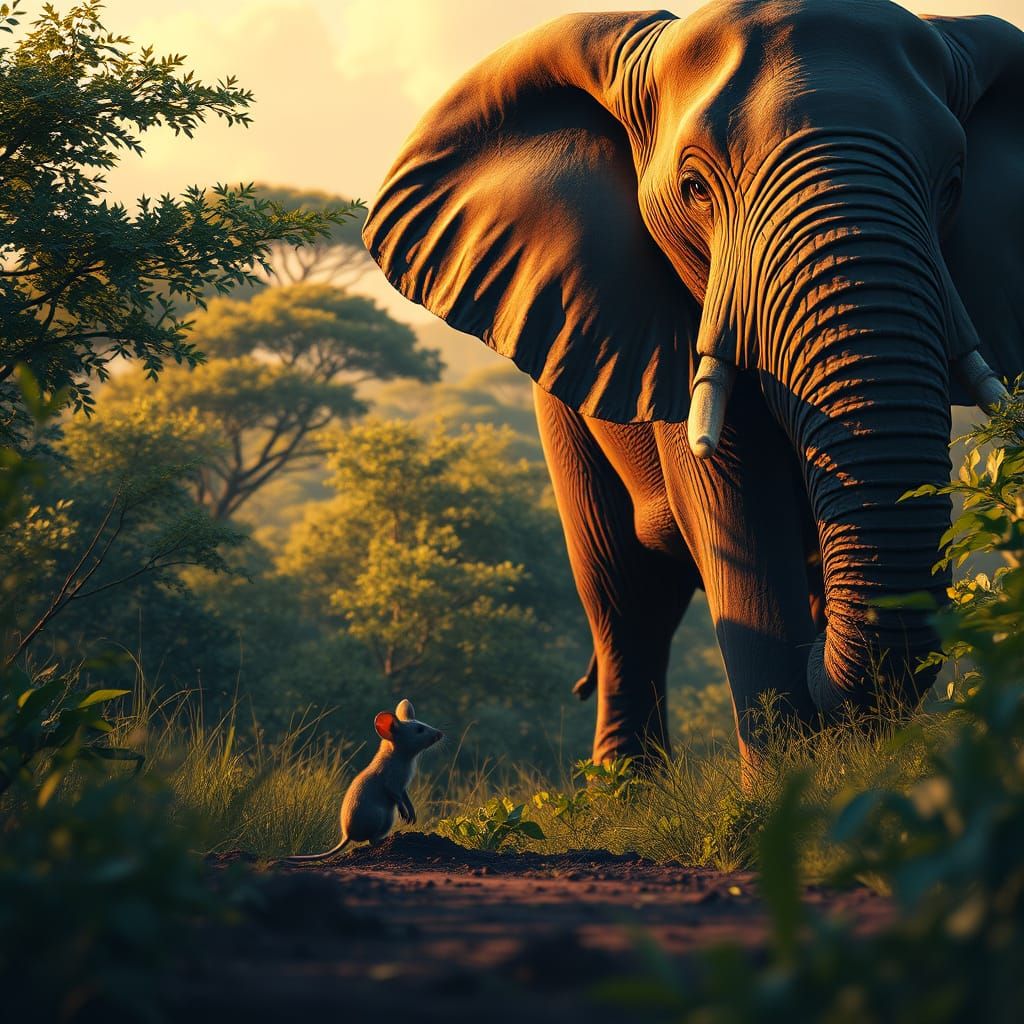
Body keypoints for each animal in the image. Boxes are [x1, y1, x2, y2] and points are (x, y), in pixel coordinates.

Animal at [362, 0, 1023, 768]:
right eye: (696, 189)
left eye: (953, 184)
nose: (816, 667)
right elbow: (738, 515)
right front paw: (788, 786)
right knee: (627, 593)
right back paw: (625, 782)